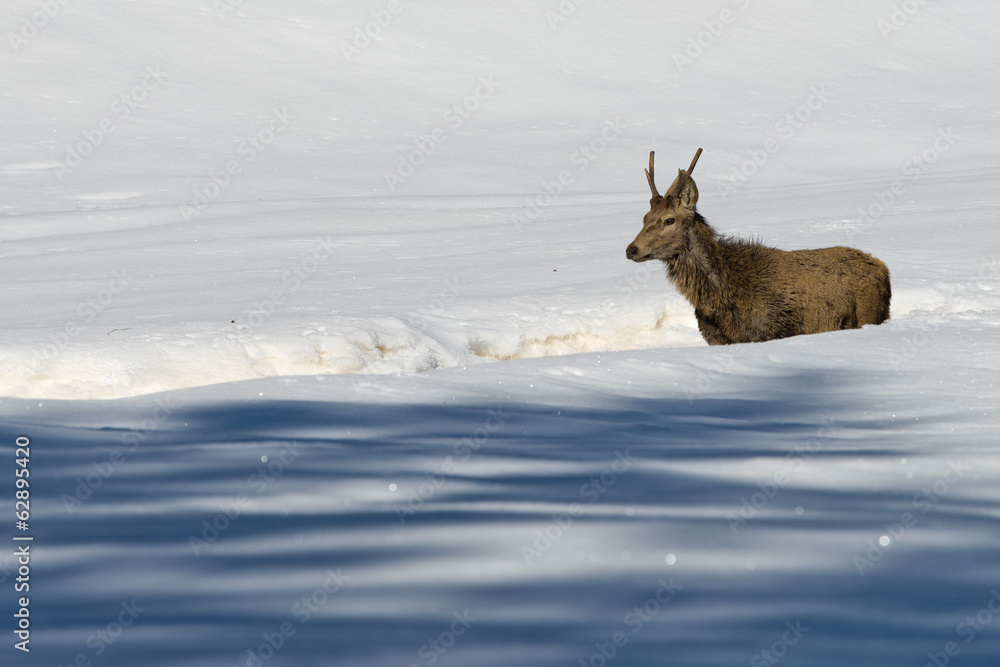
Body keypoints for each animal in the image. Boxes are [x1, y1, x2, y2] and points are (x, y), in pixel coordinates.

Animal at [624, 149, 892, 348]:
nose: (631, 249)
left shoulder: (773, 330)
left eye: (669, 219)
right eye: (645, 217)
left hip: (870, 313)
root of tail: (884, 270)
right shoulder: (716, 339)